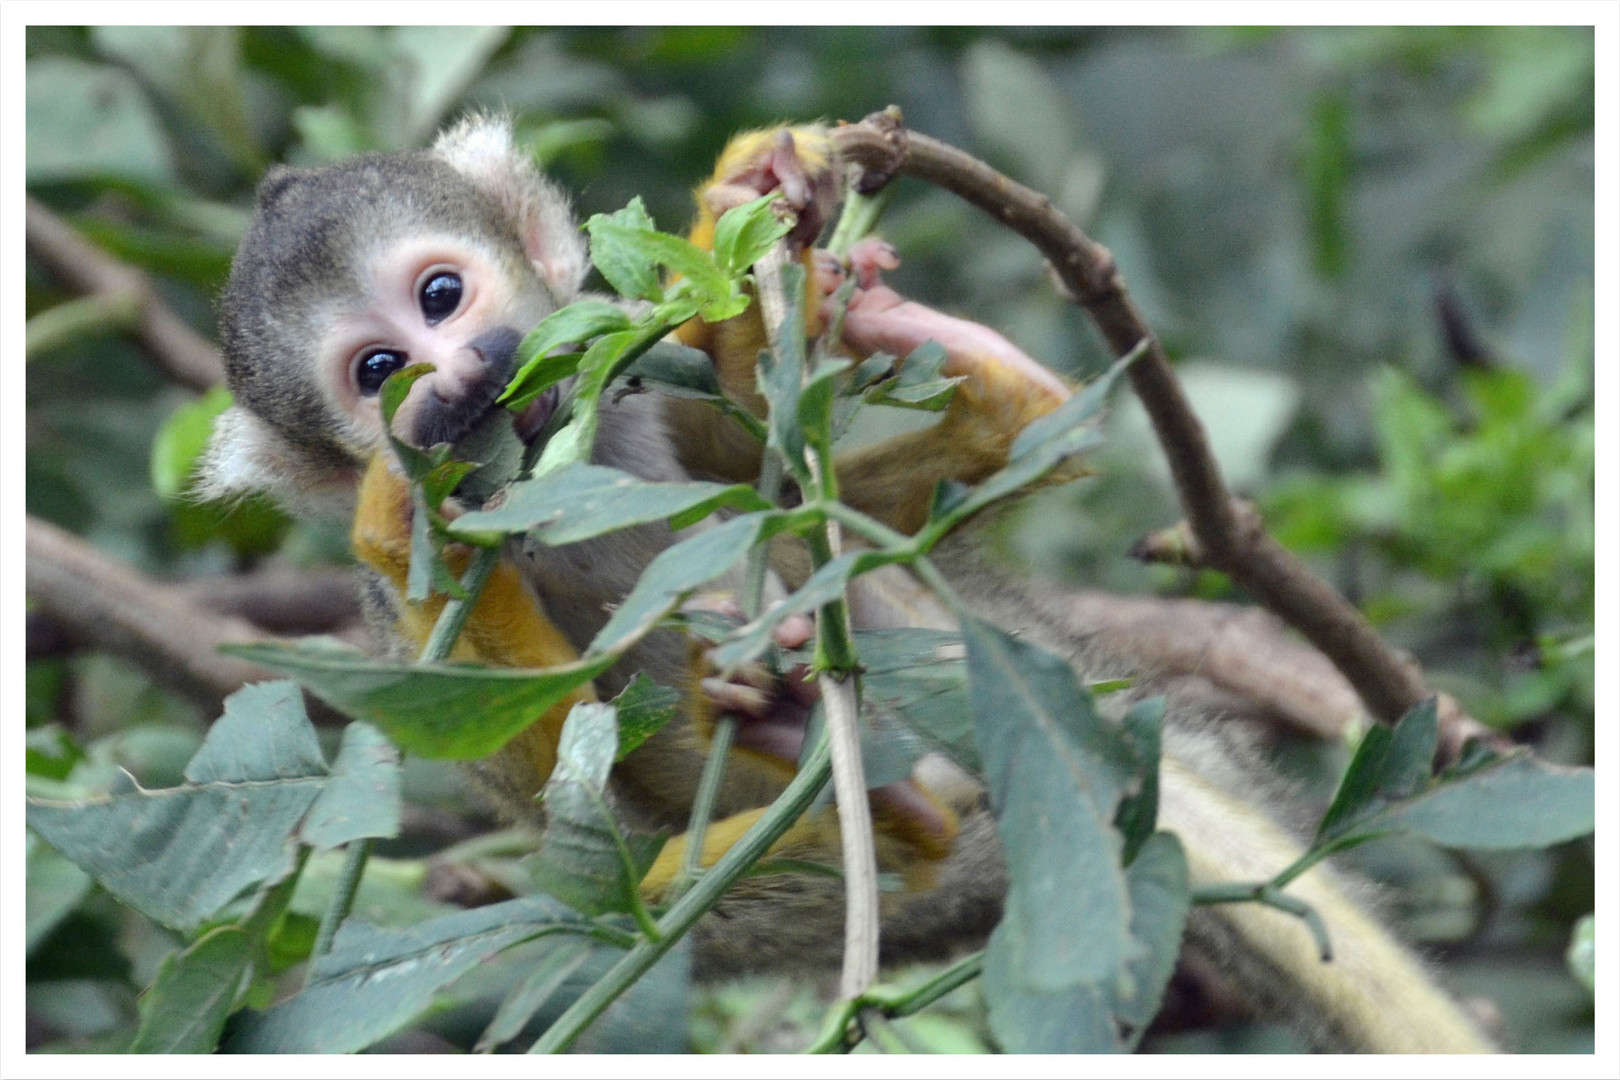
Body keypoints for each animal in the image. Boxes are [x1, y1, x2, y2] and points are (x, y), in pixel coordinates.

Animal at [199, 116, 1490, 1049]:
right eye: (379, 372)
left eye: (441, 296)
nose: (466, 376)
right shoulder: (388, 631)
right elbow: (573, 810)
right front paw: (408, 511)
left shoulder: (645, 394)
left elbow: (765, 441)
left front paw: (747, 215)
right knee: (659, 895)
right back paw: (883, 813)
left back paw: (975, 380)